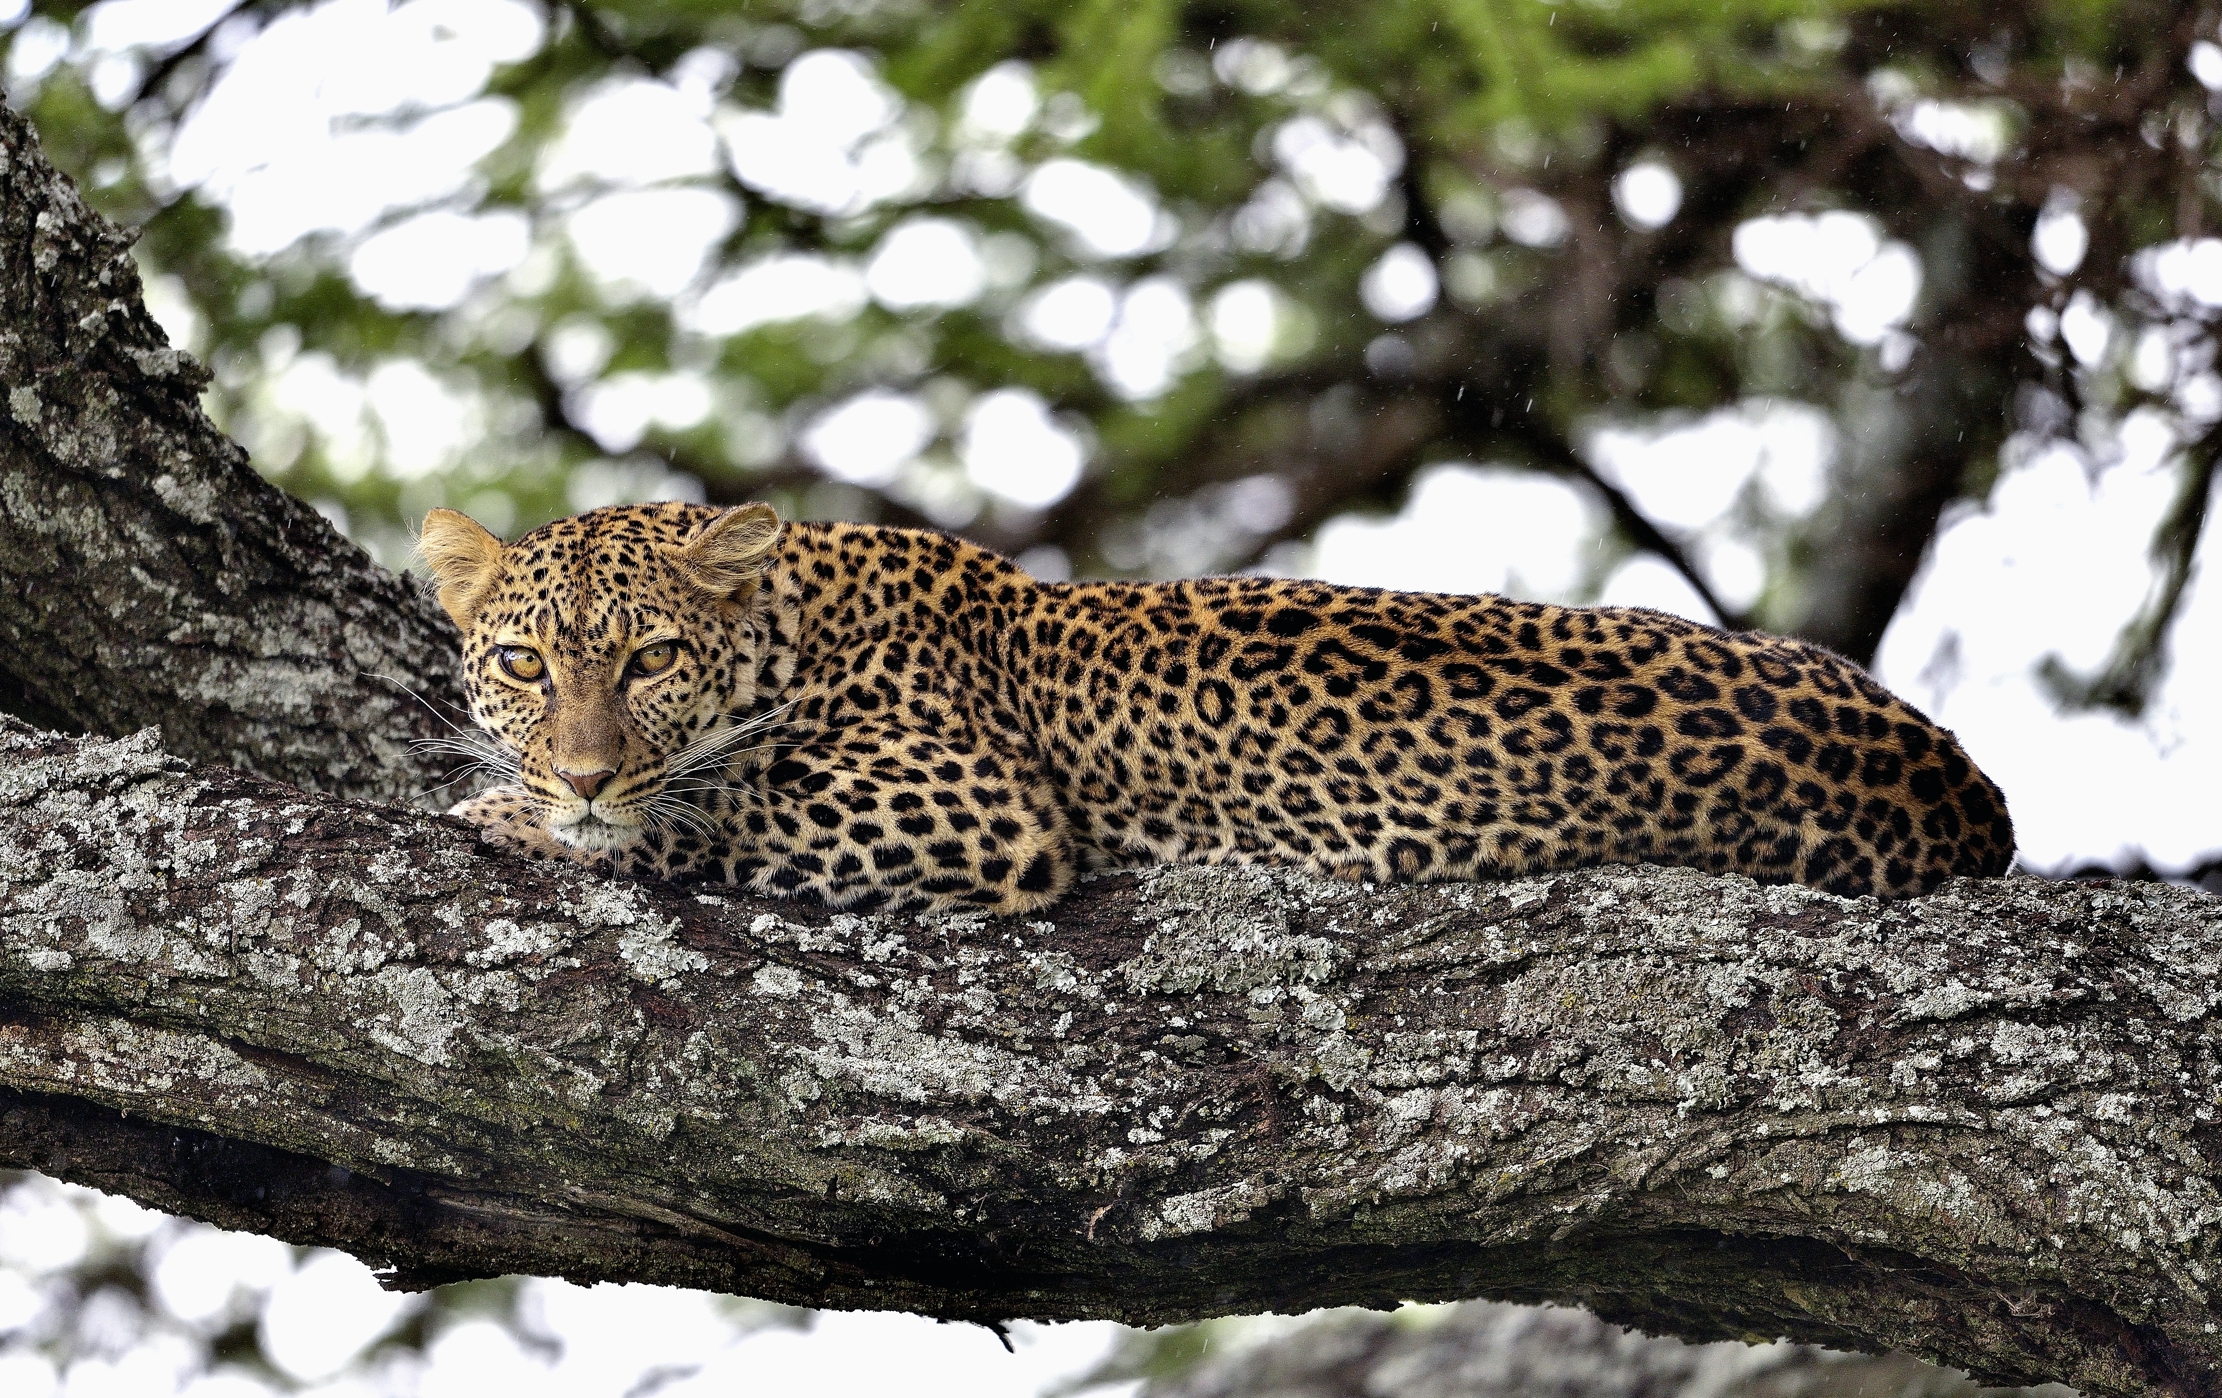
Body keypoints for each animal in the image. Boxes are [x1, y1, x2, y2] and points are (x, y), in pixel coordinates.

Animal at [418, 500, 2015, 915]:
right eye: (525, 665)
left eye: (646, 660)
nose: (579, 771)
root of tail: (1967, 791)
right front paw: (535, 798)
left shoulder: (977, 803)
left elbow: (719, 803)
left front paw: (525, 816)